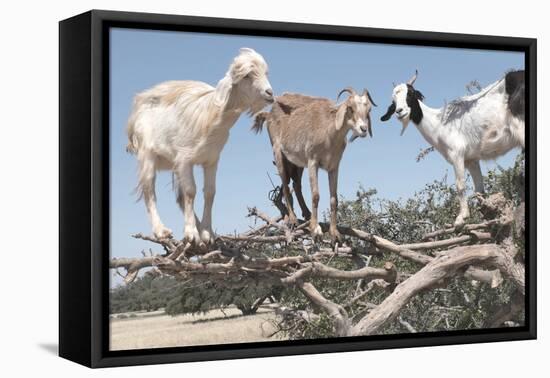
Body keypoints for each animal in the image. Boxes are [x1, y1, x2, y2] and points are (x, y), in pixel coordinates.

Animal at [126, 48, 274, 242]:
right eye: (247, 76)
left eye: (266, 72)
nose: (270, 93)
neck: (211, 117)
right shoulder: (185, 159)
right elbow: (191, 191)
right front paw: (191, 233)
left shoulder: (211, 160)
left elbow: (209, 192)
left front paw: (206, 232)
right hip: (147, 155)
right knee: (149, 190)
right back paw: (161, 231)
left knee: (179, 197)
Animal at [382, 69, 528, 226]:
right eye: (393, 101)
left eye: (410, 93)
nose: (399, 111)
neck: (439, 123)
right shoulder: (471, 160)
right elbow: (479, 190)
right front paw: (485, 218)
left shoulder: (456, 154)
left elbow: (460, 185)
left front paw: (461, 218)